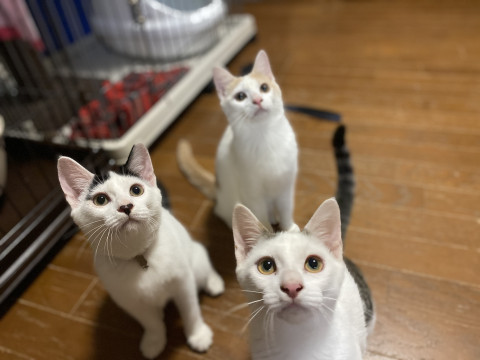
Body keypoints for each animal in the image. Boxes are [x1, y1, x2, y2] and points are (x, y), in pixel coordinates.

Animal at [56, 145, 225, 358]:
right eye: (100, 200)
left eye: (136, 190)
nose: (126, 206)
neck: (139, 255)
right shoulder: (128, 299)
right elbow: (149, 322)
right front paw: (154, 340)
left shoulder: (183, 281)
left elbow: (190, 310)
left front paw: (198, 334)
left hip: (195, 259)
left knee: (203, 266)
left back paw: (214, 282)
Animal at [177, 50, 296, 231]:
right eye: (240, 96)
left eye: (264, 87)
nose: (257, 100)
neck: (265, 136)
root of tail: (217, 190)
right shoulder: (253, 196)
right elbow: (260, 220)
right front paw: (268, 235)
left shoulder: (285, 187)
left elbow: (286, 210)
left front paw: (289, 228)